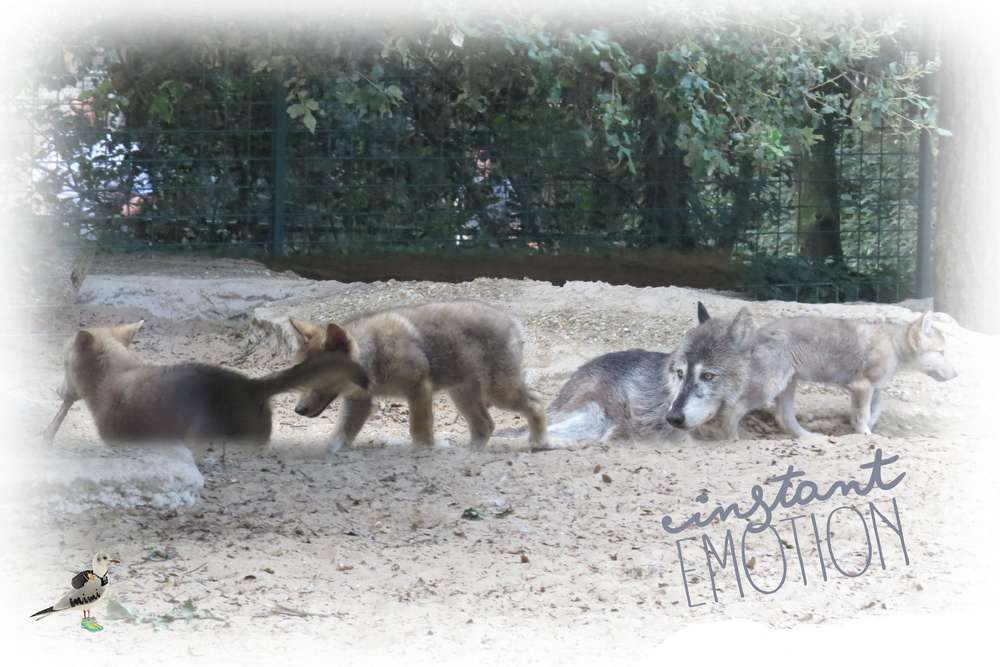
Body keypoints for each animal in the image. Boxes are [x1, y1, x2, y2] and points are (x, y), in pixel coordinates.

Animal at [288, 301, 548, 453]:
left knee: (536, 404)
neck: (374, 353)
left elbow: (419, 430)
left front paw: (424, 451)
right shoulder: (359, 402)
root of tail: (512, 321)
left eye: (321, 378)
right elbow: (339, 436)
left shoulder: (419, 389)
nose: (298, 410)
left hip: (500, 392)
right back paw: (468, 452)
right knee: (485, 425)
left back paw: (540, 442)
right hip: (462, 395)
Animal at [756, 311, 958, 437]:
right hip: (770, 387)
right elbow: (864, 414)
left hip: (788, 385)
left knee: (783, 418)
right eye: (941, 352)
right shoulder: (863, 386)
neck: (893, 347)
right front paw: (865, 433)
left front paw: (861, 429)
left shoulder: (872, 389)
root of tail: (757, 332)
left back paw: (810, 437)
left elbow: (871, 412)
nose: (957, 374)